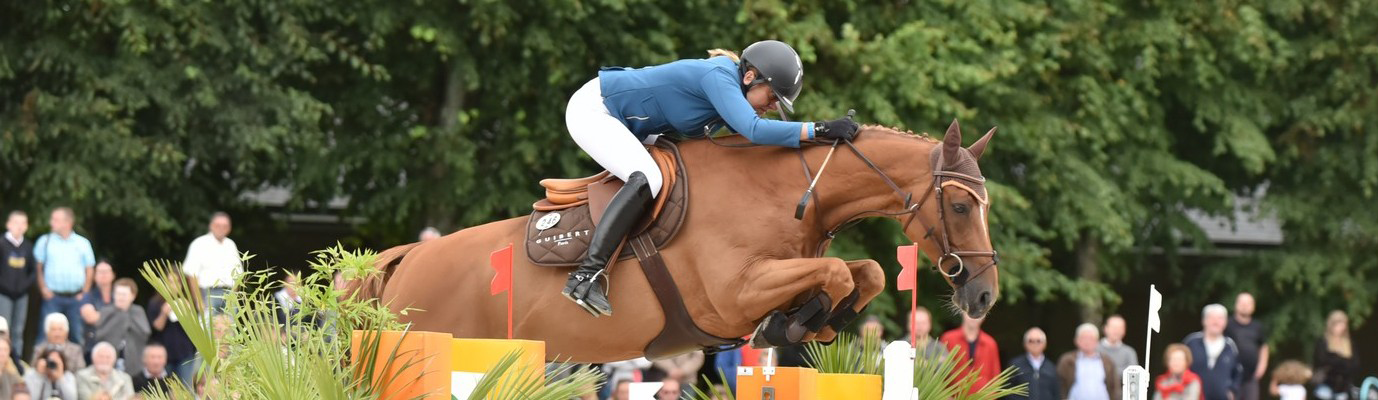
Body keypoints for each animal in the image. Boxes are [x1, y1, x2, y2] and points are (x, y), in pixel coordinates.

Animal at [352, 120, 1003, 361]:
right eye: (961, 205)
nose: (984, 297)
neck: (790, 191)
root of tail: (407, 257)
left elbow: (864, 271)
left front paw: (811, 321)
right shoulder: (734, 294)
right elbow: (844, 271)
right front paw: (790, 324)